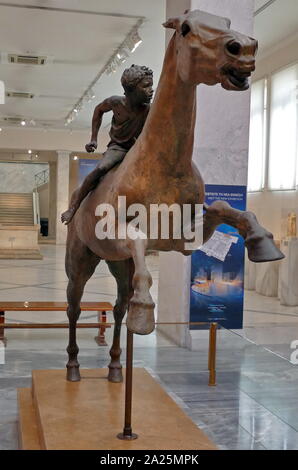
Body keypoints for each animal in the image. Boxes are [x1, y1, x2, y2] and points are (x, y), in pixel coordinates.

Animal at [65, 11, 284, 384]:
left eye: (226, 21)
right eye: (185, 28)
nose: (244, 49)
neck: (162, 164)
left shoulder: (182, 240)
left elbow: (225, 208)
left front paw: (262, 243)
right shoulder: (123, 235)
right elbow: (140, 244)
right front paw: (145, 312)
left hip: (116, 263)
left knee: (118, 307)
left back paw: (115, 368)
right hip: (80, 263)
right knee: (74, 308)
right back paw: (74, 368)